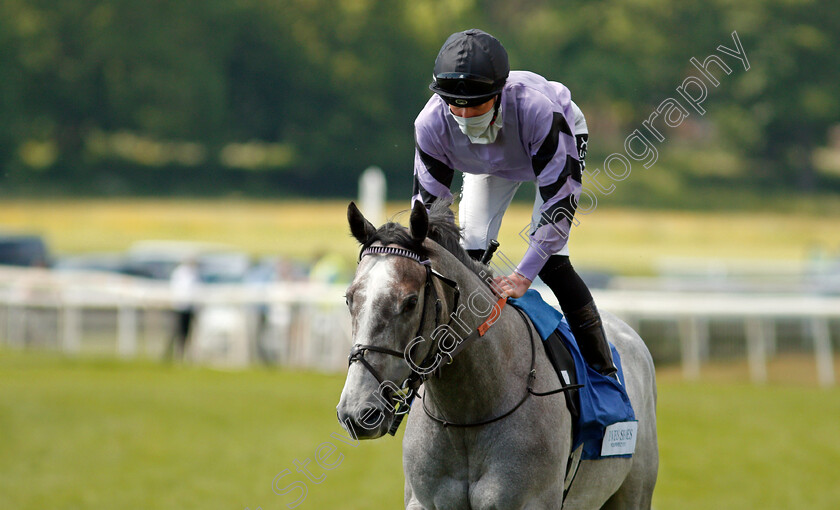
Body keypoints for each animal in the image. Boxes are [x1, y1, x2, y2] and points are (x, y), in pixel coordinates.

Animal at [334, 201, 656, 508]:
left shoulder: (531, 502)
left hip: (634, 493)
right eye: (349, 298)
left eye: (410, 302)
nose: (357, 412)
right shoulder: (423, 502)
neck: (467, 413)